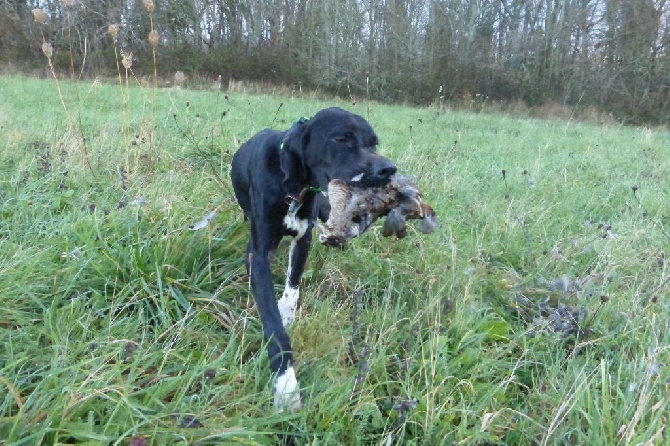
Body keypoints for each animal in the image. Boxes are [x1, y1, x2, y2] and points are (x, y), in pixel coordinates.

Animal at [232, 108, 400, 412]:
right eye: (341, 139)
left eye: (374, 143)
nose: (388, 170)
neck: (293, 186)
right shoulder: (258, 255)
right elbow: (273, 323)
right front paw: (286, 386)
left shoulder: (303, 238)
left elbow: (293, 288)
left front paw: (287, 313)